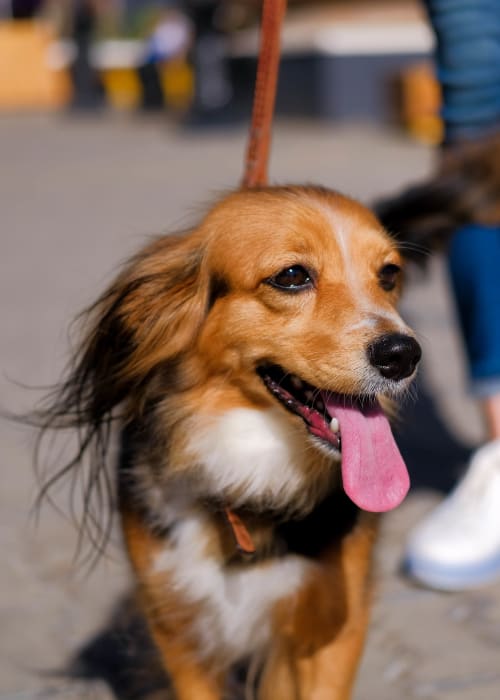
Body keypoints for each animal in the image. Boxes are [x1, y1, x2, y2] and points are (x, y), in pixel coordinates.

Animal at [40, 186, 422, 700]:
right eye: (292, 276)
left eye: (388, 275)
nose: (403, 355)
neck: (251, 469)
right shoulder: (179, 623)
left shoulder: (333, 625)